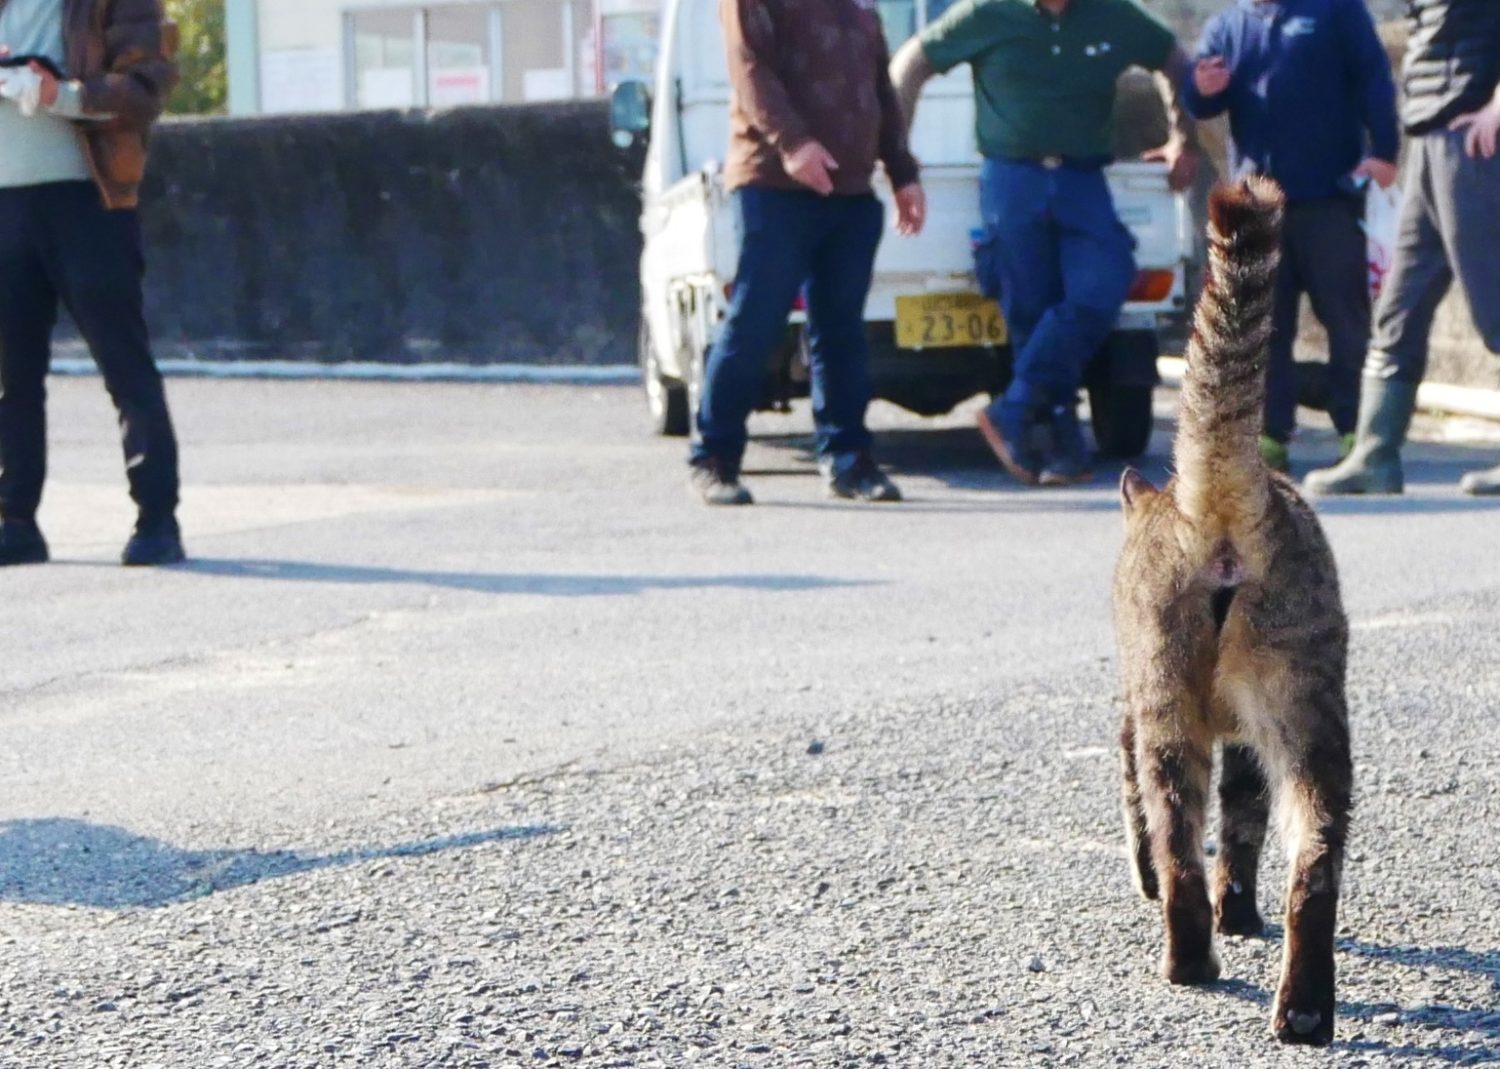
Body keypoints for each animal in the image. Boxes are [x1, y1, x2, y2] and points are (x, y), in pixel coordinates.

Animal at [1110, 179, 1356, 1049]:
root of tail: (1212, 509)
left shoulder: (1129, 708)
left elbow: (1140, 804)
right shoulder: (1251, 736)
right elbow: (1246, 817)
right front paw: (1239, 910)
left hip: (1164, 683)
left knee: (1175, 828)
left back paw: (1188, 956)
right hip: (1303, 684)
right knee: (1314, 851)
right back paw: (1304, 1004)